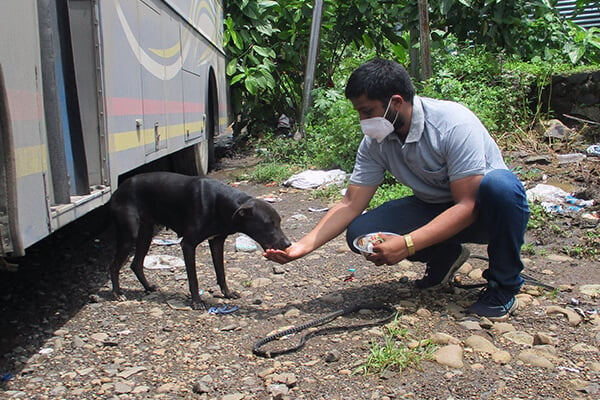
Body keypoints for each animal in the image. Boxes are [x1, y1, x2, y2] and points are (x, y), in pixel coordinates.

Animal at [110, 172, 292, 310]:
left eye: (279, 222)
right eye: (269, 224)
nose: (288, 244)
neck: (222, 203)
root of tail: (119, 189)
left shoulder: (217, 242)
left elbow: (221, 272)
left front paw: (227, 293)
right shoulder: (188, 245)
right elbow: (193, 278)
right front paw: (196, 301)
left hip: (146, 233)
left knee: (136, 264)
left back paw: (147, 287)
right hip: (129, 236)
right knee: (114, 266)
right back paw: (117, 293)